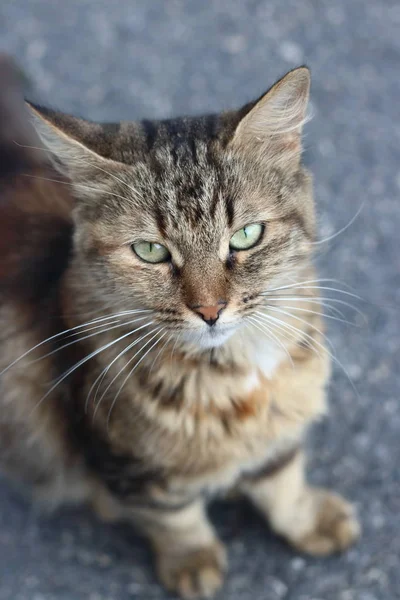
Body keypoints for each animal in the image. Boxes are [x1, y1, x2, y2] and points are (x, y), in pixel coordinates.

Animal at [0, 54, 360, 596]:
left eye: (246, 236)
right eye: (150, 251)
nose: (210, 310)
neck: (229, 377)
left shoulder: (280, 423)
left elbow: (281, 477)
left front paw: (307, 518)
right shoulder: (122, 455)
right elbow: (175, 517)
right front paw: (193, 562)